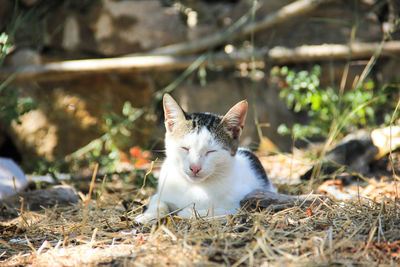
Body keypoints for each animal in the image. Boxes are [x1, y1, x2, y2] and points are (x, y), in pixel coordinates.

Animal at [134, 93, 276, 225]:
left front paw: (187, 212)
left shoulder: (238, 206)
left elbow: (211, 212)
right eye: (185, 148)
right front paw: (148, 216)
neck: (193, 186)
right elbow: (158, 202)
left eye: (211, 151)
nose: (195, 168)